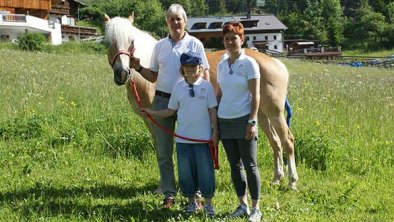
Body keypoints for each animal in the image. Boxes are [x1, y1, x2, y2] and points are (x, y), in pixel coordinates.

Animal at [104, 14, 298, 190]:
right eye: (108, 42)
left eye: (131, 41)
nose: (123, 73)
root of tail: (275, 62)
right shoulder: (150, 120)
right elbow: (161, 151)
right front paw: (162, 187)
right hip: (261, 114)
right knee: (276, 142)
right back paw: (276, 179)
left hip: (275, 112)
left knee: (287, 140)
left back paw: (292, 182)